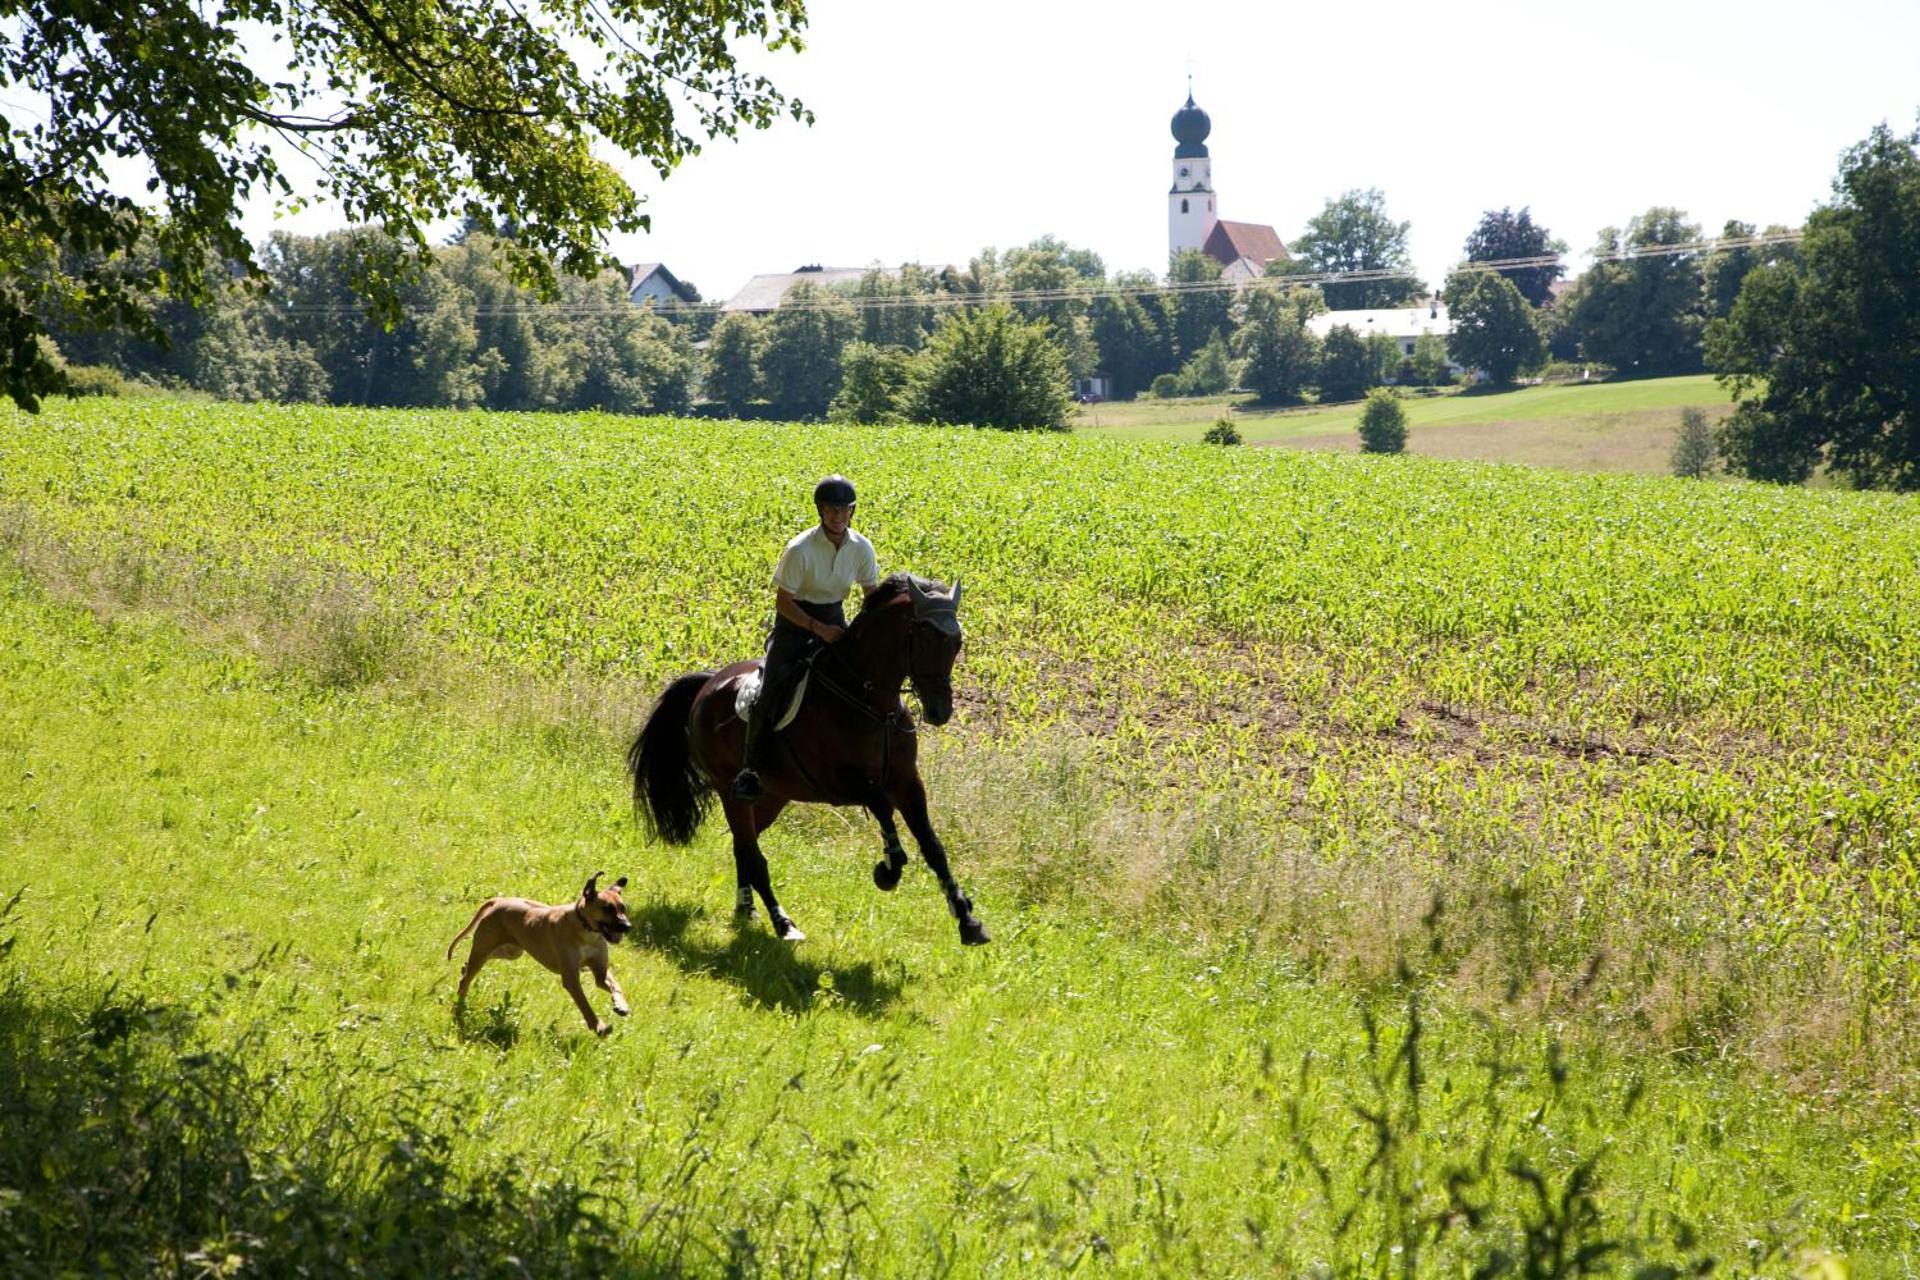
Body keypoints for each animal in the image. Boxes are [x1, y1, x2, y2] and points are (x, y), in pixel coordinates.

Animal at [626, 573, 990, 947]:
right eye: (926, 638)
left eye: (957, 642)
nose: (940, 712)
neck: (873, 703)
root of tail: (707, 684)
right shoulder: (839, 784)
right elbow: (881, 806)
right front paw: (888, 869)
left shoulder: (907, 783)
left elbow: (933, 847)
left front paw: (967, 920)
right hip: (730, 790)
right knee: (753, 855)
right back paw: (783, 923)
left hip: (773, 796)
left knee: (743, 846)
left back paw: (746, 909)